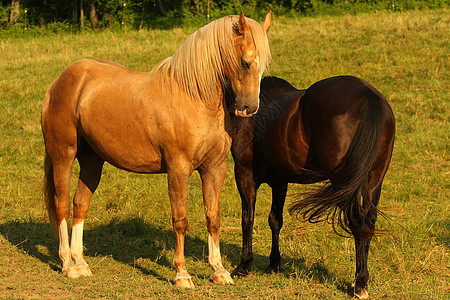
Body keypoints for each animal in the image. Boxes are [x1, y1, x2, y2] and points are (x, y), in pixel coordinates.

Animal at [227, 75, 396, 298]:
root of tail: (368, 96)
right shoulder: (280, 181)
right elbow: (275, 220)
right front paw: (274, 264)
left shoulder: (244, 174)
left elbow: (247, 219)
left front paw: (244, 265)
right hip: (372, 183)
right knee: (368, 222)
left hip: (343, 185)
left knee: (358, 222)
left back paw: (359, 283)